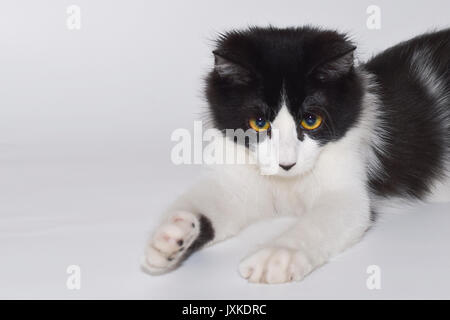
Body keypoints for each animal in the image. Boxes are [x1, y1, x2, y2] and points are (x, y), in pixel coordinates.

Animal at [142, 26, 448, 284]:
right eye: (259, 123)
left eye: (311, 120)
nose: (286, 164)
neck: (287, 184)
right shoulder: (238, 181)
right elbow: (210, 202)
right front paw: (170, 236)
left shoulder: (348, 191)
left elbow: (318, 222)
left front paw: (277, 255)